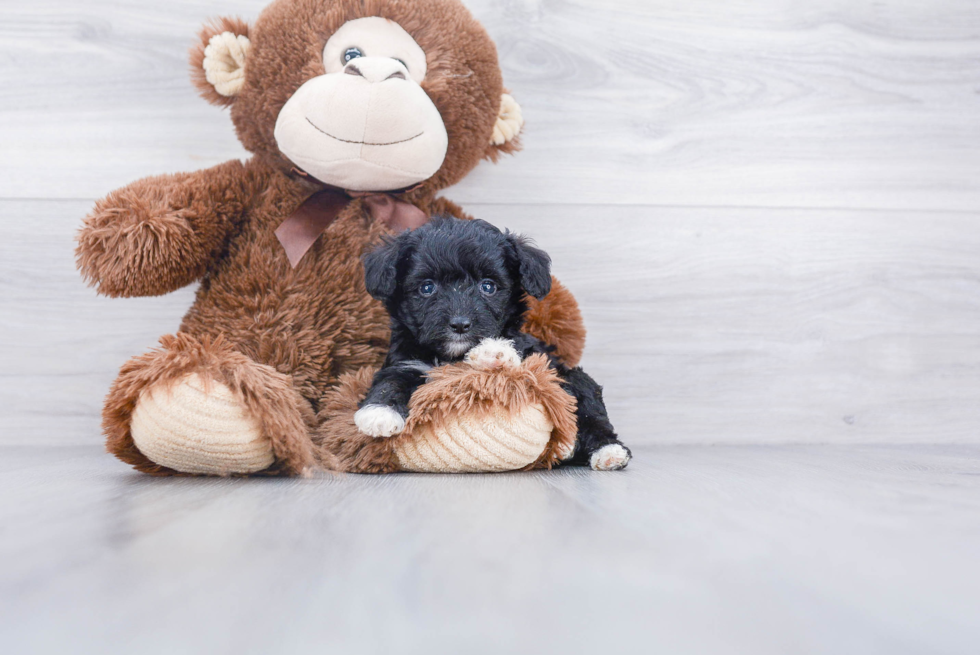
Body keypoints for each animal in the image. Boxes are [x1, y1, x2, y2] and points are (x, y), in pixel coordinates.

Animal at [356, 217, 632, 472]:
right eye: (427, 287)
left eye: (488, 286)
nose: (460, 324)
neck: (452, 356)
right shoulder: (405, 362)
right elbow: (390, 380)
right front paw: (379, 413)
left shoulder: (534, 356)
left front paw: (492, 352)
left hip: (573, 377)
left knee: (590, 411)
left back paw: (607, 451)